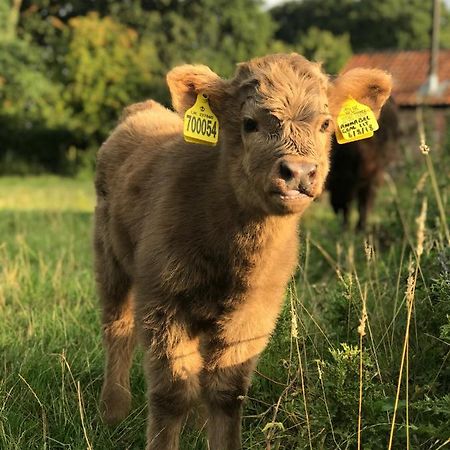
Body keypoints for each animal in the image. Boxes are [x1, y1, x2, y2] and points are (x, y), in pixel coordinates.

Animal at [94, 53, 390, 450]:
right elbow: (171, 393)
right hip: (109, 258)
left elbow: (225, 389)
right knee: (118, 329)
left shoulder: (254, 312)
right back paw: (113, 410)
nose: (299, 172)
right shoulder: (162, 301)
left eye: (325, 124)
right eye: (250, 124)